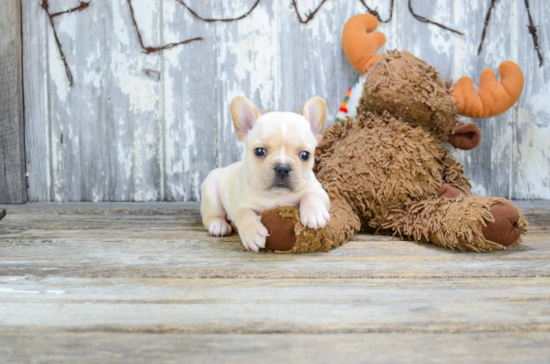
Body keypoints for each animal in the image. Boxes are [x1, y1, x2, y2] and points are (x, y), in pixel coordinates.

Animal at [203, 95, 332, 252]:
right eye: (259, 151)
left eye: (305, 155)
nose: (282, 167)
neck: (276, 194)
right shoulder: (244, 204)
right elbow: (243, 214)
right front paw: (253, 233)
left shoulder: (318, 190)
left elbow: (312, 195)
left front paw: (314, 213)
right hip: (210, 190)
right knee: (211, 216)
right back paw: (219, 225)